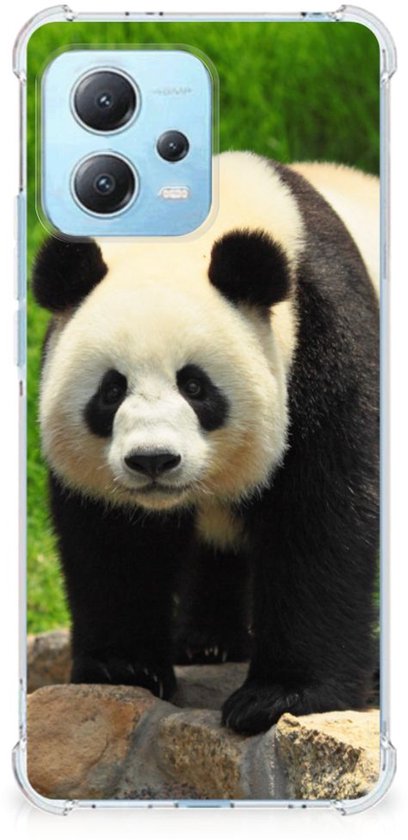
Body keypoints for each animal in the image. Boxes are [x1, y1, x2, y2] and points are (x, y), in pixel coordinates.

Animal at [33, 152, 379, 735]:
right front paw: (124, 668)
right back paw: (207, 642)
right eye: (111, 390)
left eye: (195, 386)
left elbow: (323, 517)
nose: (153, 460)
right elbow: (113, 539)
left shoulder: (325, 341)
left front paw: (279, 696)